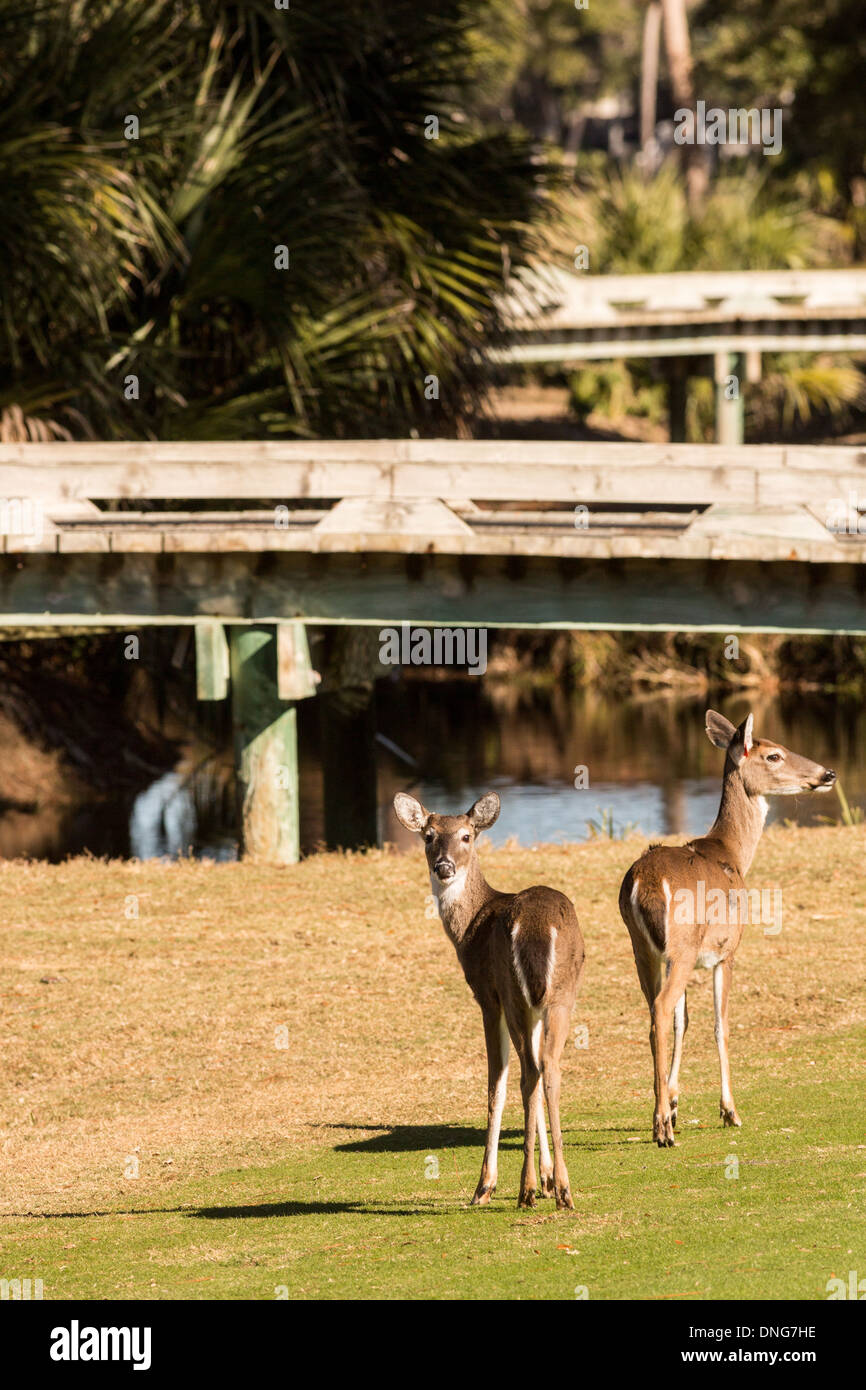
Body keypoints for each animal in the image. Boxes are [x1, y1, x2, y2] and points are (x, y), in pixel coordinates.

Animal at [394, 795, 586, 1206]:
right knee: (548, 1068)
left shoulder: (486, 996)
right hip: (560, 994)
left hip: (512, 993)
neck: (470, 928)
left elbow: (494, 1085)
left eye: (467, 836)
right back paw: (562, 1189)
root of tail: (537, 928)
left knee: (528, 1073)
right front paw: (548, 1178)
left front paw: (486, 1185)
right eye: (429, 835)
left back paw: (523, 1190)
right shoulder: (533, 1006)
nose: (444, 866)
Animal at [619, 711, 839, 1145]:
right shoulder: (727, 951)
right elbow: (720, 1025)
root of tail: (642, 883)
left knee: (656, 1013)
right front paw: (729, 1111)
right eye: (774, 755)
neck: (732, 854)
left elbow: (684, 1021)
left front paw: (675, 1100)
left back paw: (660, 1117)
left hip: (644, 949)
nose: (828, 773)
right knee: (660, 1009)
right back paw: (663, 1129)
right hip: (683, 945)